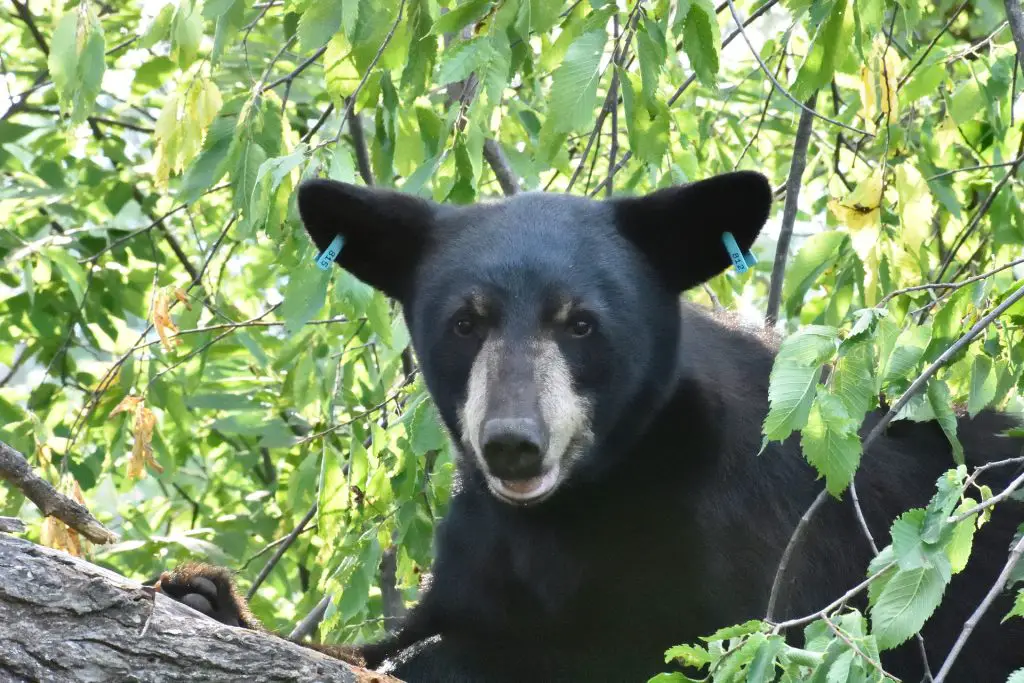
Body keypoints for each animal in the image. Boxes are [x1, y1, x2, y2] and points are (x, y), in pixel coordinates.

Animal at [159, 175, 1024, 683]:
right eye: (465, 321)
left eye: (580, 322)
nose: (513, 441)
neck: (580, 505)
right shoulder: (483, 547)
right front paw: (207, 595)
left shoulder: (757, 545)